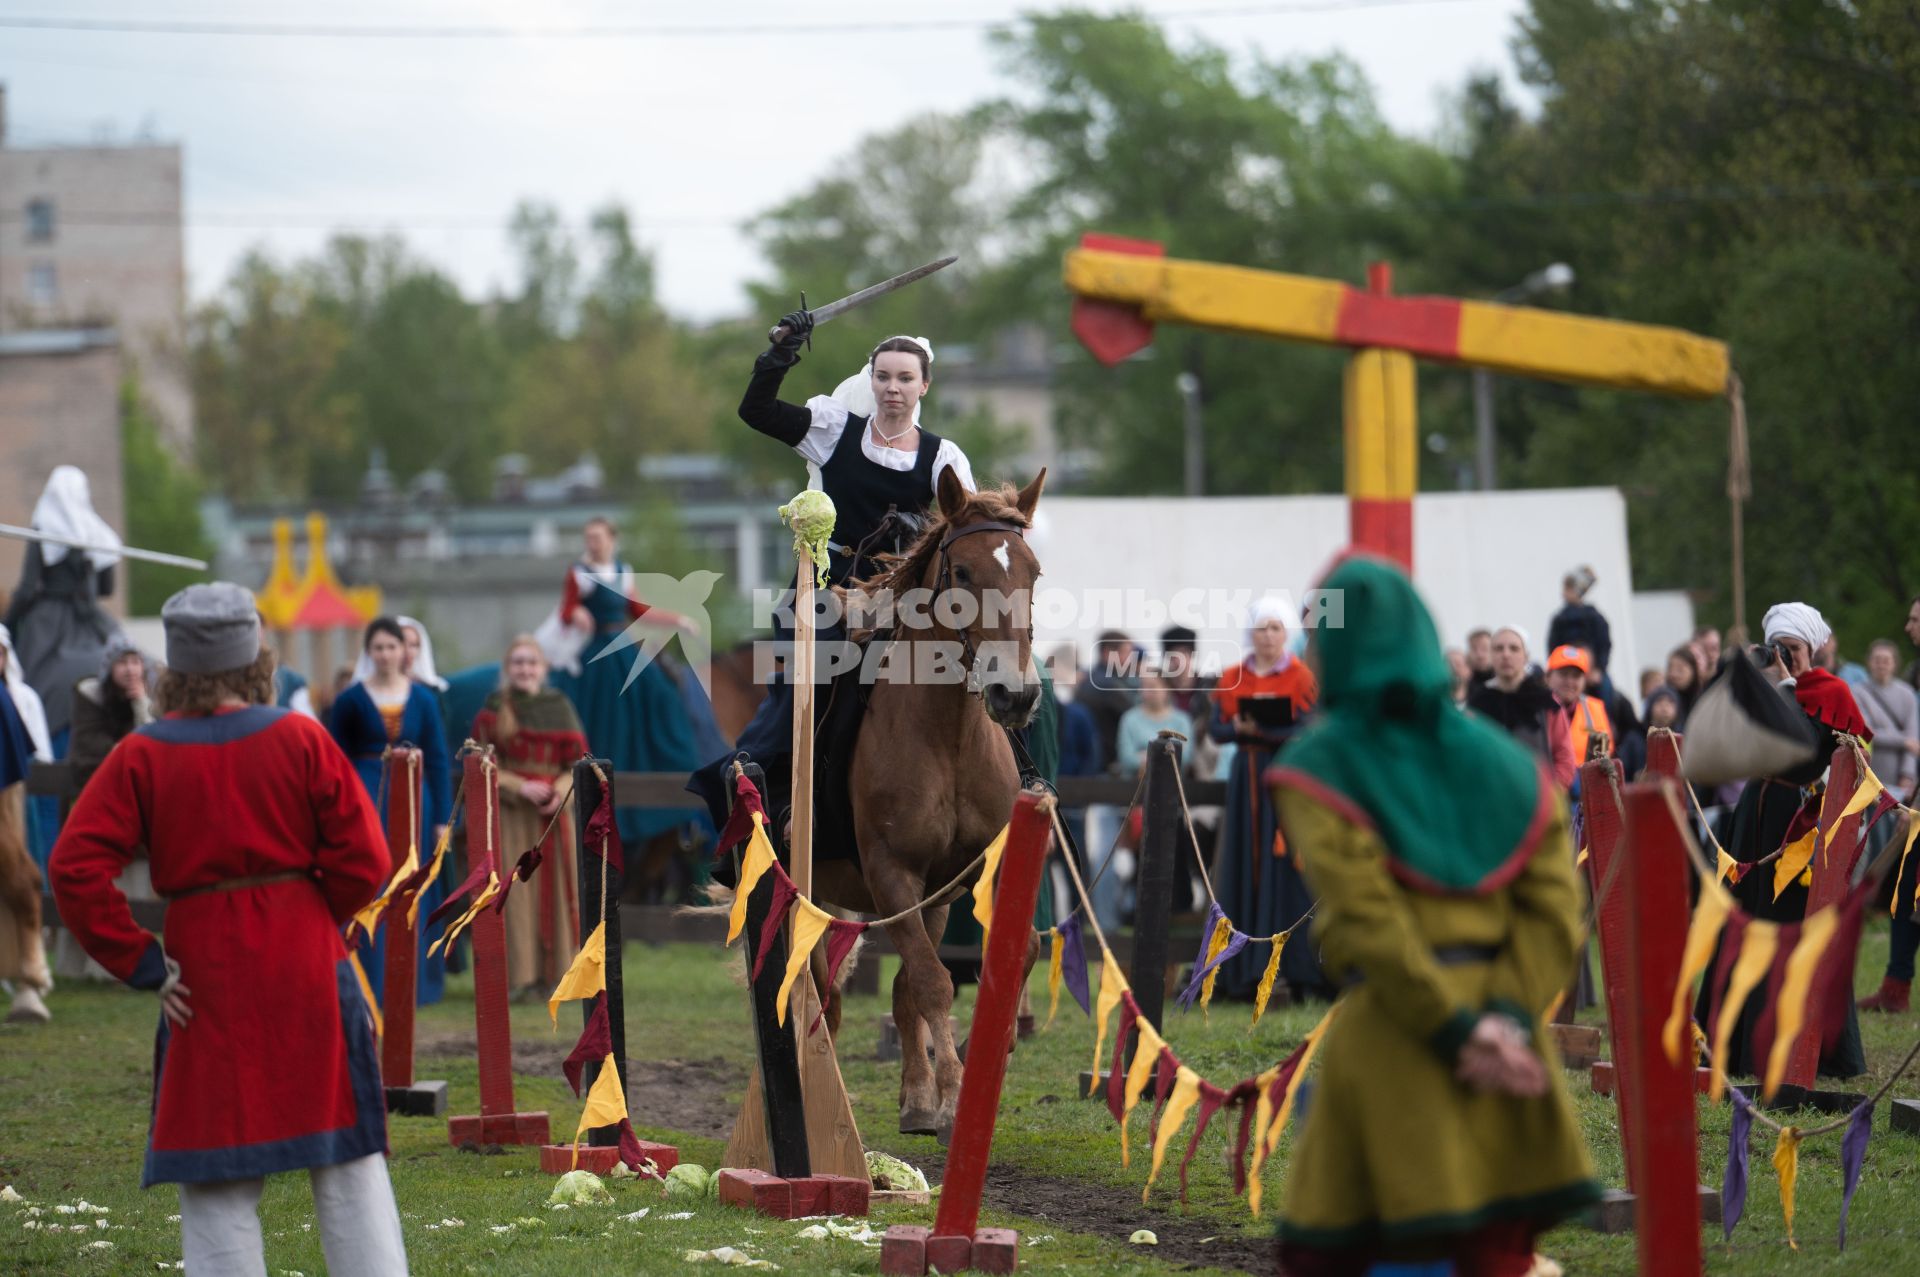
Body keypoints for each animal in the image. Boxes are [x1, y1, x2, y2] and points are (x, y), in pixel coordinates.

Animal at [810, 470, 1052, 1136]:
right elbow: (934, 981)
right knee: (815, 989)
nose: (1015, 695)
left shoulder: (966, 874)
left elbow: (1017, 950)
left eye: (1033, 571)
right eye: (962, 572)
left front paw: (951, 1078)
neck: (947, 737)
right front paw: (953, 1091)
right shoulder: (892, 874)